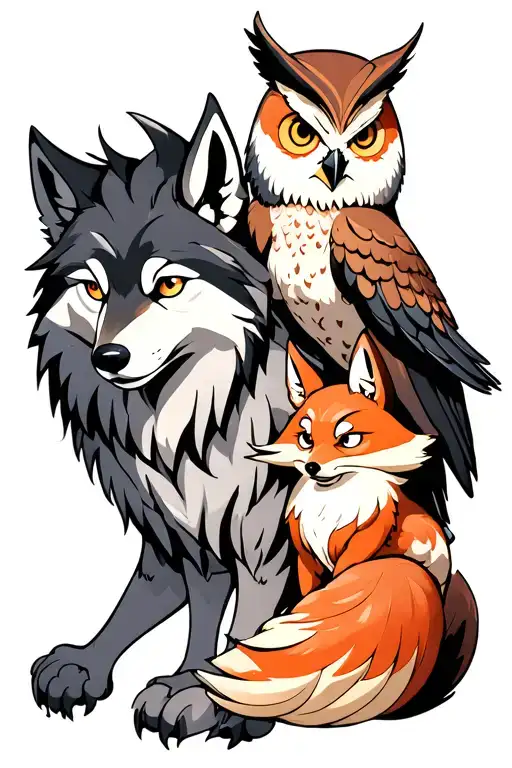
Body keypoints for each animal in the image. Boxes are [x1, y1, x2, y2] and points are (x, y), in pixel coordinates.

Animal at [28, 95, 296, 748]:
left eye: (169, 284)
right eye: (93, 288)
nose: (108, 358)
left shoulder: (265, 530)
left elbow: (249, 622)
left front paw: (216, 700)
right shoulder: (179, 526)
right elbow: (162, 597)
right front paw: (93, 663)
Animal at [197, 333, 477, 726]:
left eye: (348, 440)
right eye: (306, 439)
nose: (313, 467)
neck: (330, 510)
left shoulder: (359, 548)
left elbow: (331, 587)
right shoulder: (306, 560)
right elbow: (309, 595)